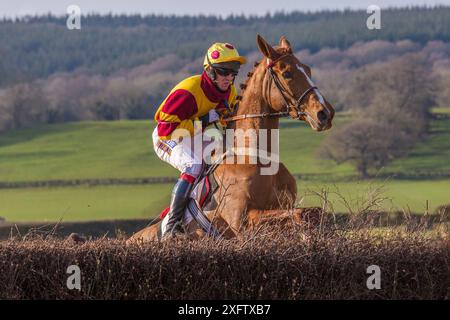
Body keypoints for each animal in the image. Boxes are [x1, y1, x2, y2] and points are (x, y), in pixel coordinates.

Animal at [126, 35, 334, 244]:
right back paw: (170, 230)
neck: (257, 156)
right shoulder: (242, 222)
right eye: (288, 73)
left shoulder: (285, 205)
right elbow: (301, 214)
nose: (325, 113)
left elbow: (314, 212)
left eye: (307, 69)